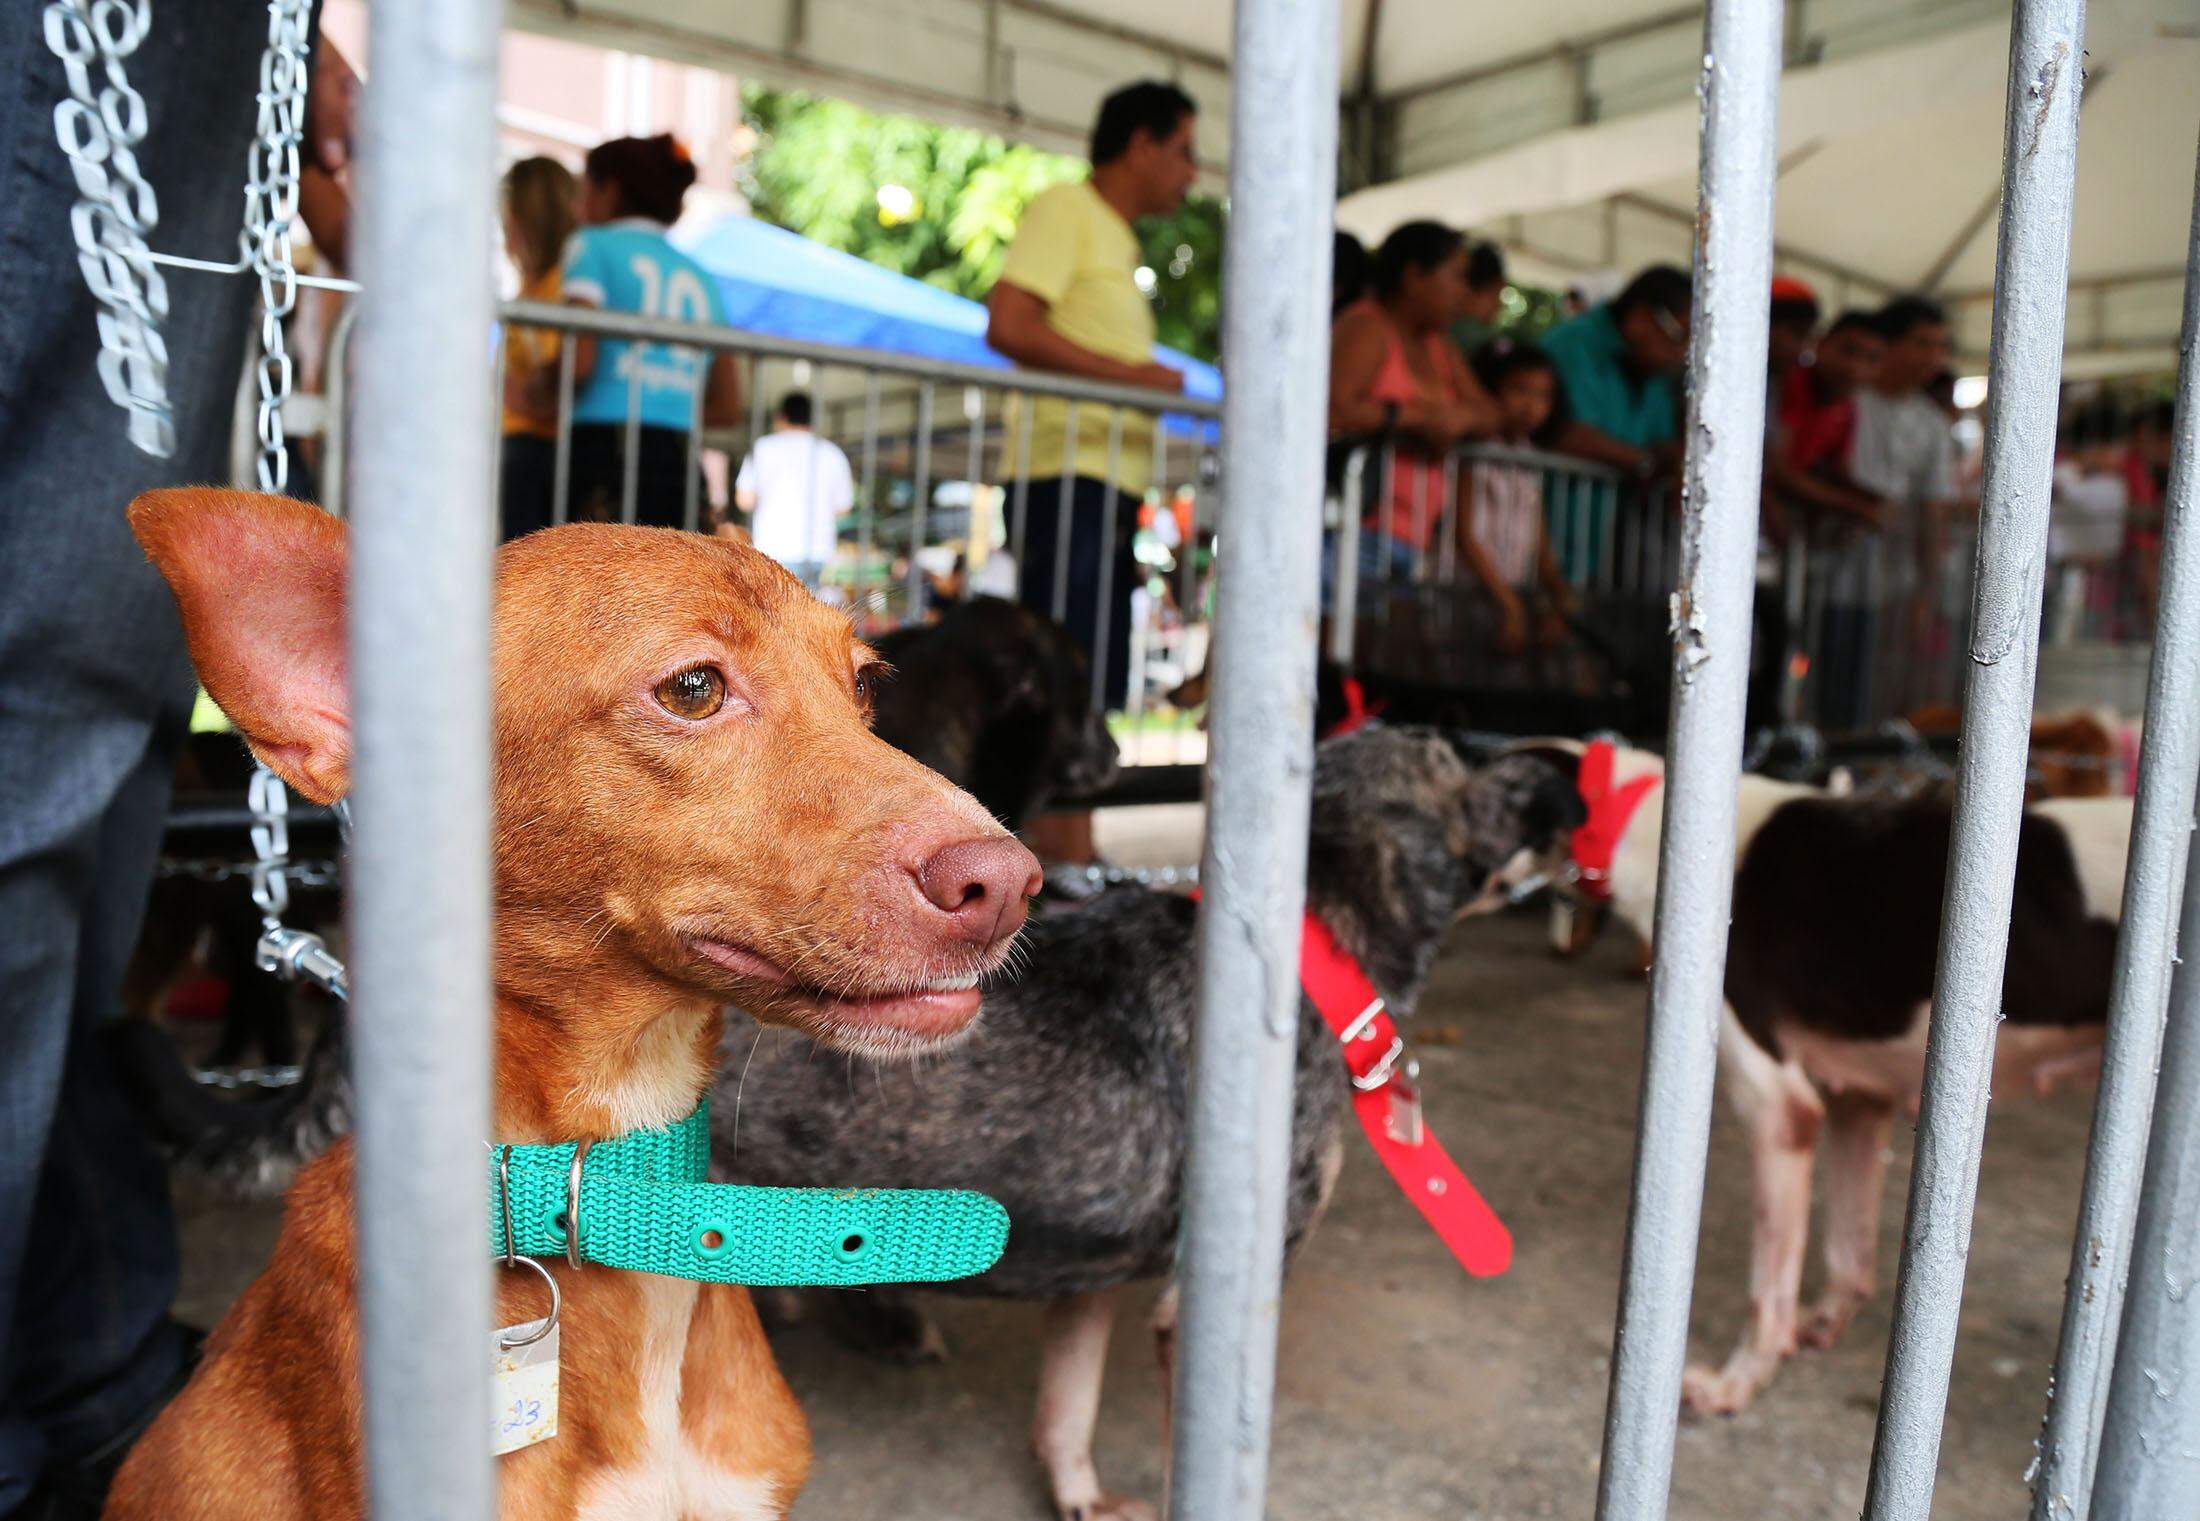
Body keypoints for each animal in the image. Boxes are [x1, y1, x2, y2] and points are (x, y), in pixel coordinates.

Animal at [708, 730, 1584, 1521]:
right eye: (1461, 751)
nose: (1573, 771)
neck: (1308, 945)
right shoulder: (1208, 1308)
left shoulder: (1086, 1276)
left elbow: (1067, 1409)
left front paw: (1081, 1499)